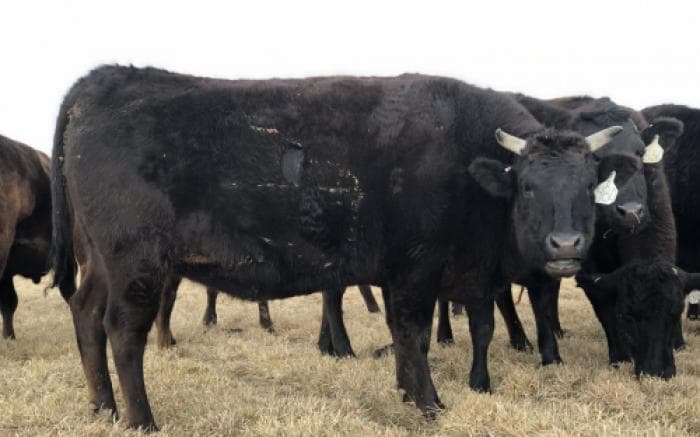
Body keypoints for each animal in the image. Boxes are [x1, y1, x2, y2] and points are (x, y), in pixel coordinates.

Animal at [50, 65, 619, 430]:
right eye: (528, 186)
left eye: (590, 184)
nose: (567, 243)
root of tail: (104, 78)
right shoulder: (416, 271)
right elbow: (413, 335)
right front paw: (430, 405)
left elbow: (406, 337)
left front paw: (406, 394)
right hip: (136, 262)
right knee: (123, 332)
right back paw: (141, 420)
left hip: (100, 260)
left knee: (85, 313)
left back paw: (102, 408)